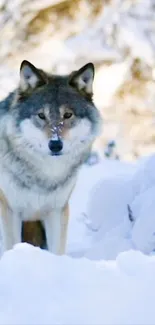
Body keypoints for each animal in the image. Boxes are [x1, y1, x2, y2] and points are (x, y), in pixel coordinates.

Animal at [0, 59, 101, 254]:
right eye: (41, 115)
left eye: (68, 115)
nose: (55, 145)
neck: (43, 176)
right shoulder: (10, 210)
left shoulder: (56, 211)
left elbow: (57, 251)